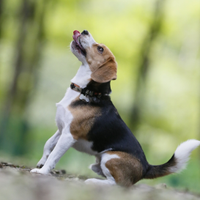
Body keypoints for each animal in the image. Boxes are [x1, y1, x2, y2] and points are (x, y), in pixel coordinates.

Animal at [30, 30, 200, 187]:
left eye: (100, 49)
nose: (84, 31)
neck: (84, 91)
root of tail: (146, 167)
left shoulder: (68, 135)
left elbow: (54, 155)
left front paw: (42, 171)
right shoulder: (61, 129)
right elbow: (48, 144)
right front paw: (41, 162)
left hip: (110, 157)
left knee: (120, 184)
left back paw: (94, 182)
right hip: (99, 162)